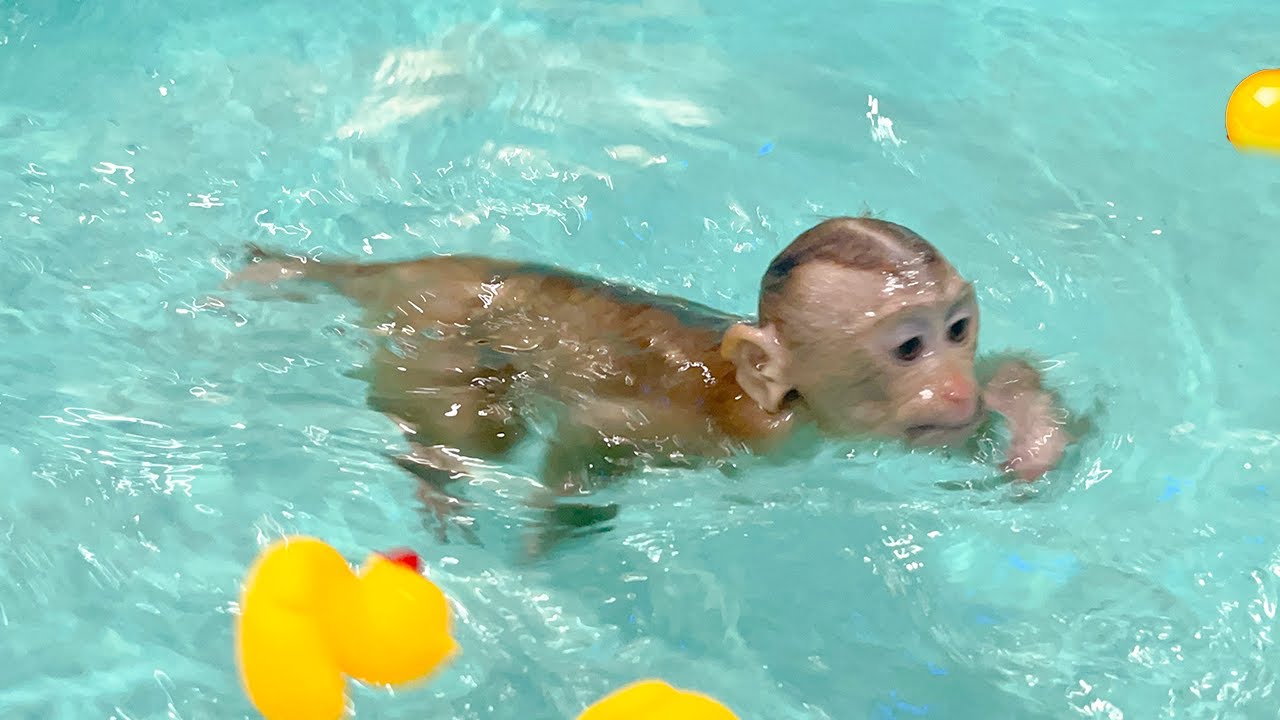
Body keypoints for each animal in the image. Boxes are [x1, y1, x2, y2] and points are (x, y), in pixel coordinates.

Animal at [228, 216, 1072, 553]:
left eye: (957, 331)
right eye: (908, 347)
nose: (951, 387)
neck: (793, 407)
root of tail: (416, 269)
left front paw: (1031, 429)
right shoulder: (722, 436)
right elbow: (593, 433)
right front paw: (550, 536)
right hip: (436, 333)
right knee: (478, 424)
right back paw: (436, 467)